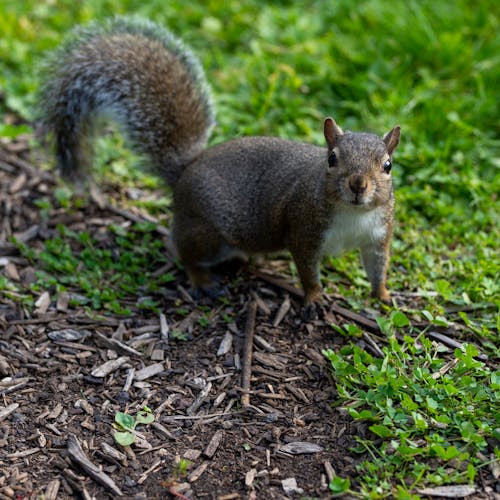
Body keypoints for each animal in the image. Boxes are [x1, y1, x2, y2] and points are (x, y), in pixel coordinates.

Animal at [38, 17, 402, 312]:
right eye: (332, 159)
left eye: (387, 166)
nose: (358, 185)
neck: (353, 214)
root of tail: (185, 172)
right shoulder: (303, 230)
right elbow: (308, 272)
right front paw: (314, 298)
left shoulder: (378, 235)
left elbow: (377, 268)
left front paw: (384, 295)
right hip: (207, 232)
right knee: (184, 252)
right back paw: (202, 280)